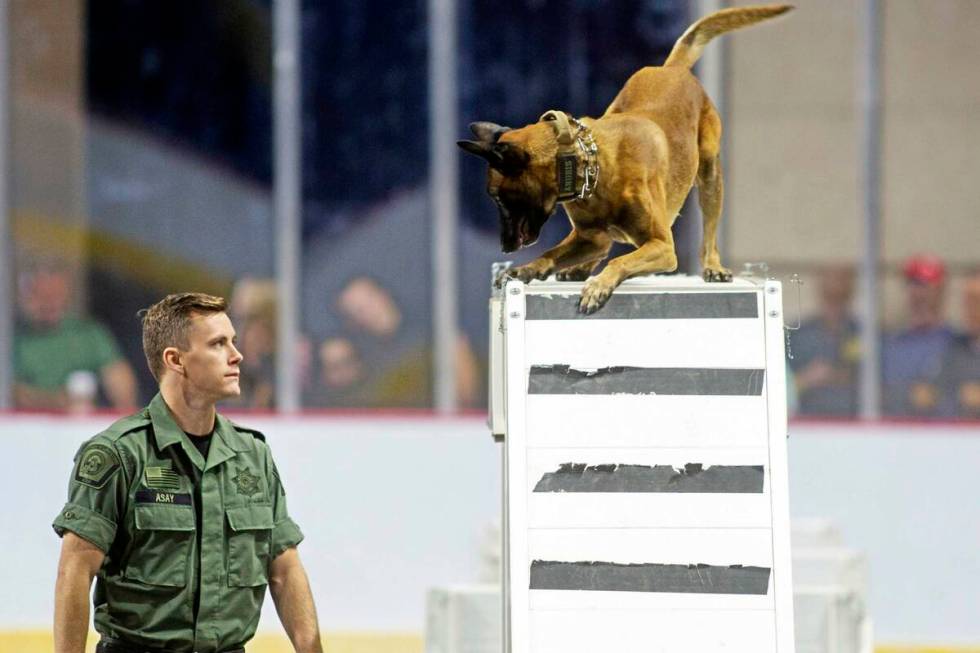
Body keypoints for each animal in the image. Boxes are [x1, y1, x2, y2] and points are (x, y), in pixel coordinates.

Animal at [464, 3, 792, 314]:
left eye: (497, 198)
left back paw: (713, 266)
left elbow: (619, 262)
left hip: (710, 175)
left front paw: (598, 286)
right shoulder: (589, 236)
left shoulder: (662, 246)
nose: (505, 249)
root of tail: (671, 69)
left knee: (708, 229)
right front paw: (526, 269)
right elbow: (552, 254)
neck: (592, 168)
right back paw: (579, 268)